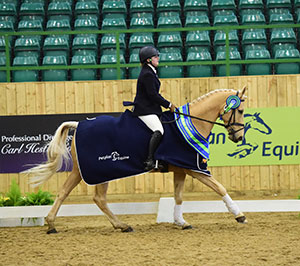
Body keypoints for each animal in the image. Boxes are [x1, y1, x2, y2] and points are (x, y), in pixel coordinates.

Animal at [24, 87, 248, 233]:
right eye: (240, 110)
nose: (238, 137)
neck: (191, 123)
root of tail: (79, 124)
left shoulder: (180, 169)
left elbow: (178, 197)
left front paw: (180, 222)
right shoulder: (194, 168)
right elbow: (220, 187)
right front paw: (239, 215)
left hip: (82, 171)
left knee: (67, 193)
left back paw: (53, 224)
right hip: (100, 170)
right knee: (96, 198)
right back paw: (119, 225)